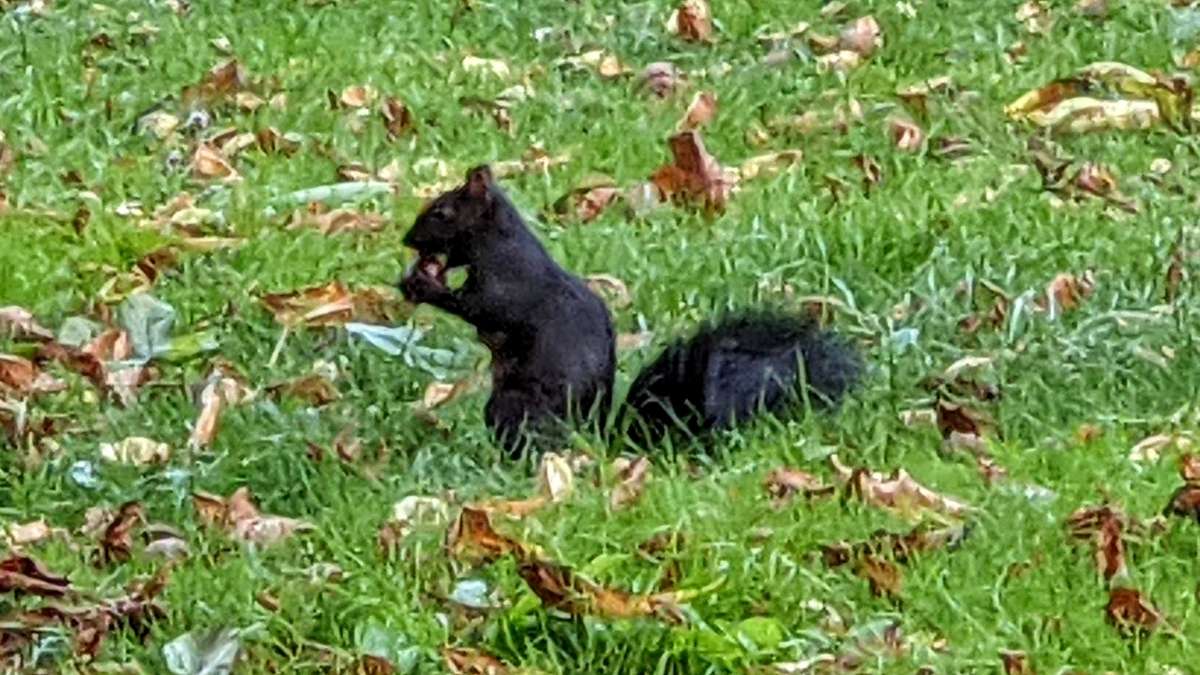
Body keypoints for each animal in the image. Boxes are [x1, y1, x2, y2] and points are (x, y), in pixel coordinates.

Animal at [399, 165, 862, 456]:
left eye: (441, 211)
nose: (407, 241)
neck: (498, 241)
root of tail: (594, 439)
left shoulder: (509, 283)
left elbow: (479, 308)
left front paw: (423, 285)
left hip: (515, 405)